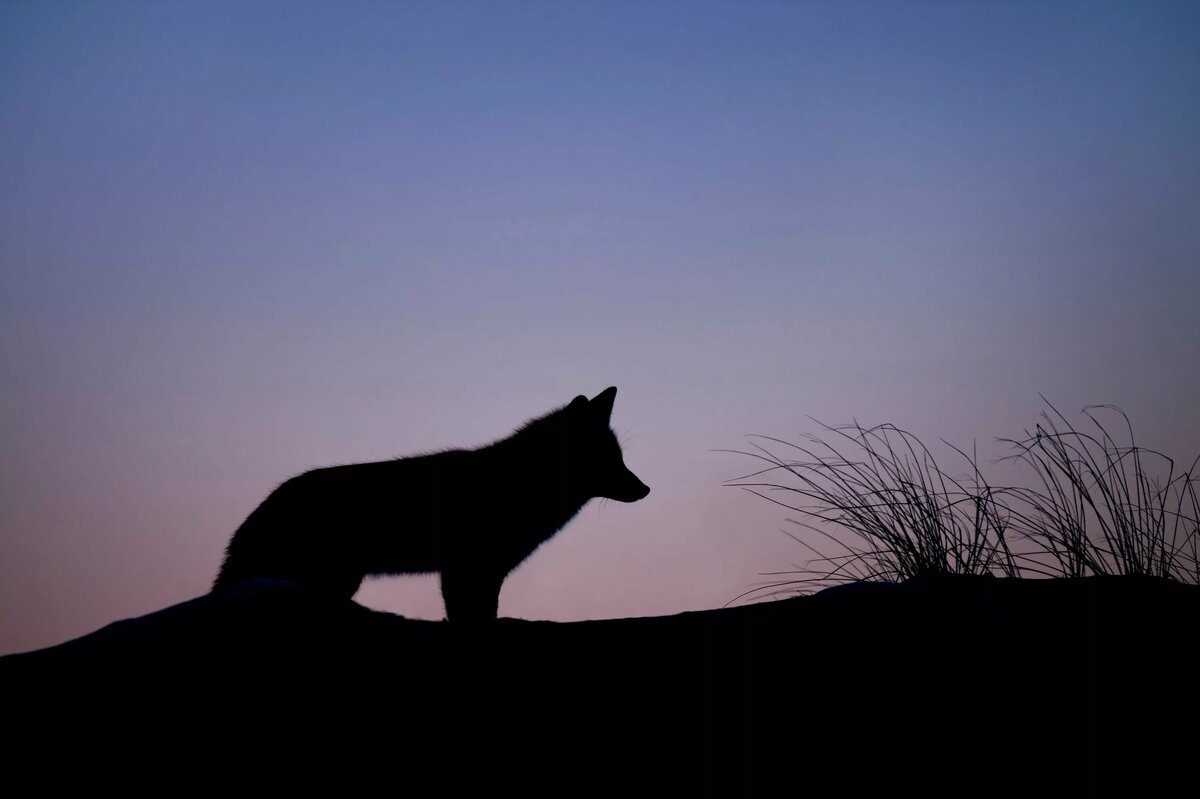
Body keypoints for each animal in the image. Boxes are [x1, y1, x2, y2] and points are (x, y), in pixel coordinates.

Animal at [213, 387, 649, 621]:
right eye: (610, 459)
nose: (645, 489)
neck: (519, 482)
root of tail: (261, 510)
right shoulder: (466, 570)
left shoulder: (482, 572)